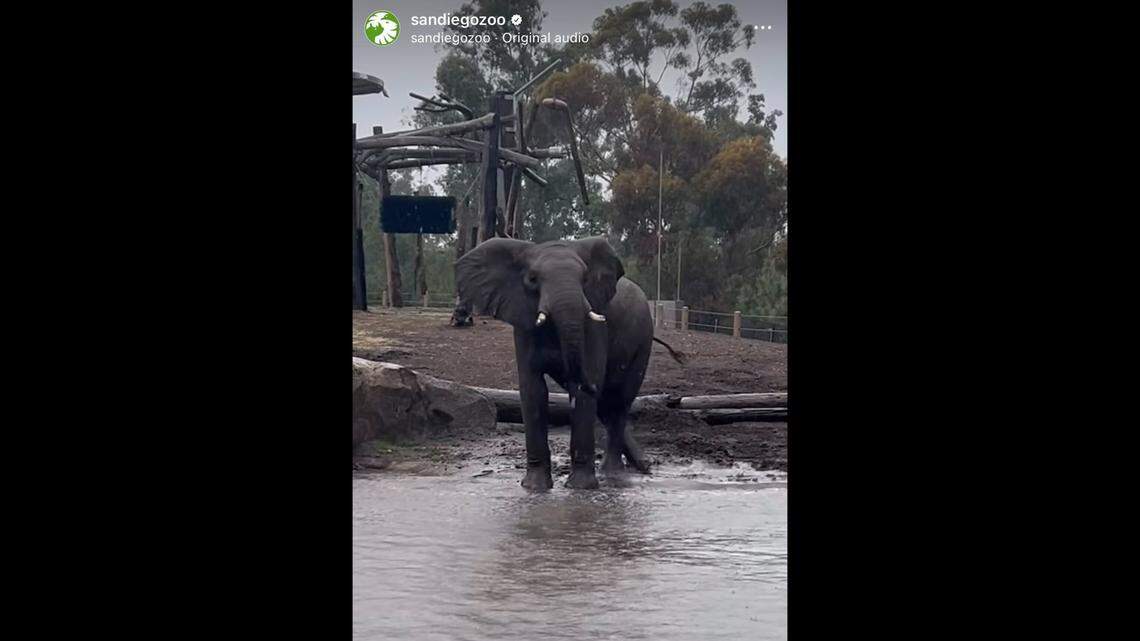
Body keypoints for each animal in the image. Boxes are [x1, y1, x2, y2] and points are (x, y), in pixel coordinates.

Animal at [456, 236, 681, 490]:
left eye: (585, 279)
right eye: (532, 279)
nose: (588, 383)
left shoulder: (595, 325)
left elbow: (583, 392)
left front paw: (580, 488)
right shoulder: (523, 323)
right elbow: (533, 390)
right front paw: (534, 488)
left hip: (643, 342)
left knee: (620, 402)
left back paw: (614, 474)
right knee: (607, 407)